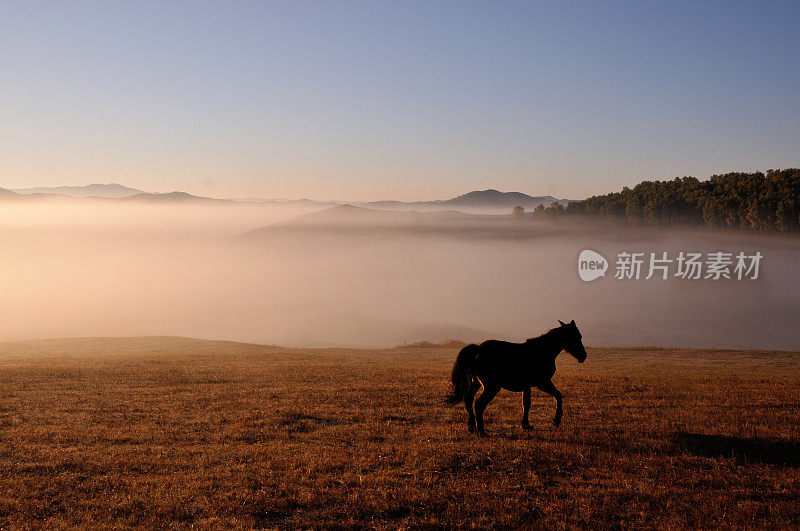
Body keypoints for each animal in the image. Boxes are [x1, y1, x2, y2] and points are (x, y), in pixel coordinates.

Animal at [444, 320, 588, 436]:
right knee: (478, 404)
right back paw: (482, 431)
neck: (542, 351)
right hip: (491, 387)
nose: (584, 356)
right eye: (577, 336)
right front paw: (556, 420)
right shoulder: (543, 383)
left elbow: (526, 403)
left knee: (468, 399)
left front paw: (526, 425)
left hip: (477, 383)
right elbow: (558, 395)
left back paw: (472, 426)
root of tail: (478, 349)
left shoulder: (527, 385)